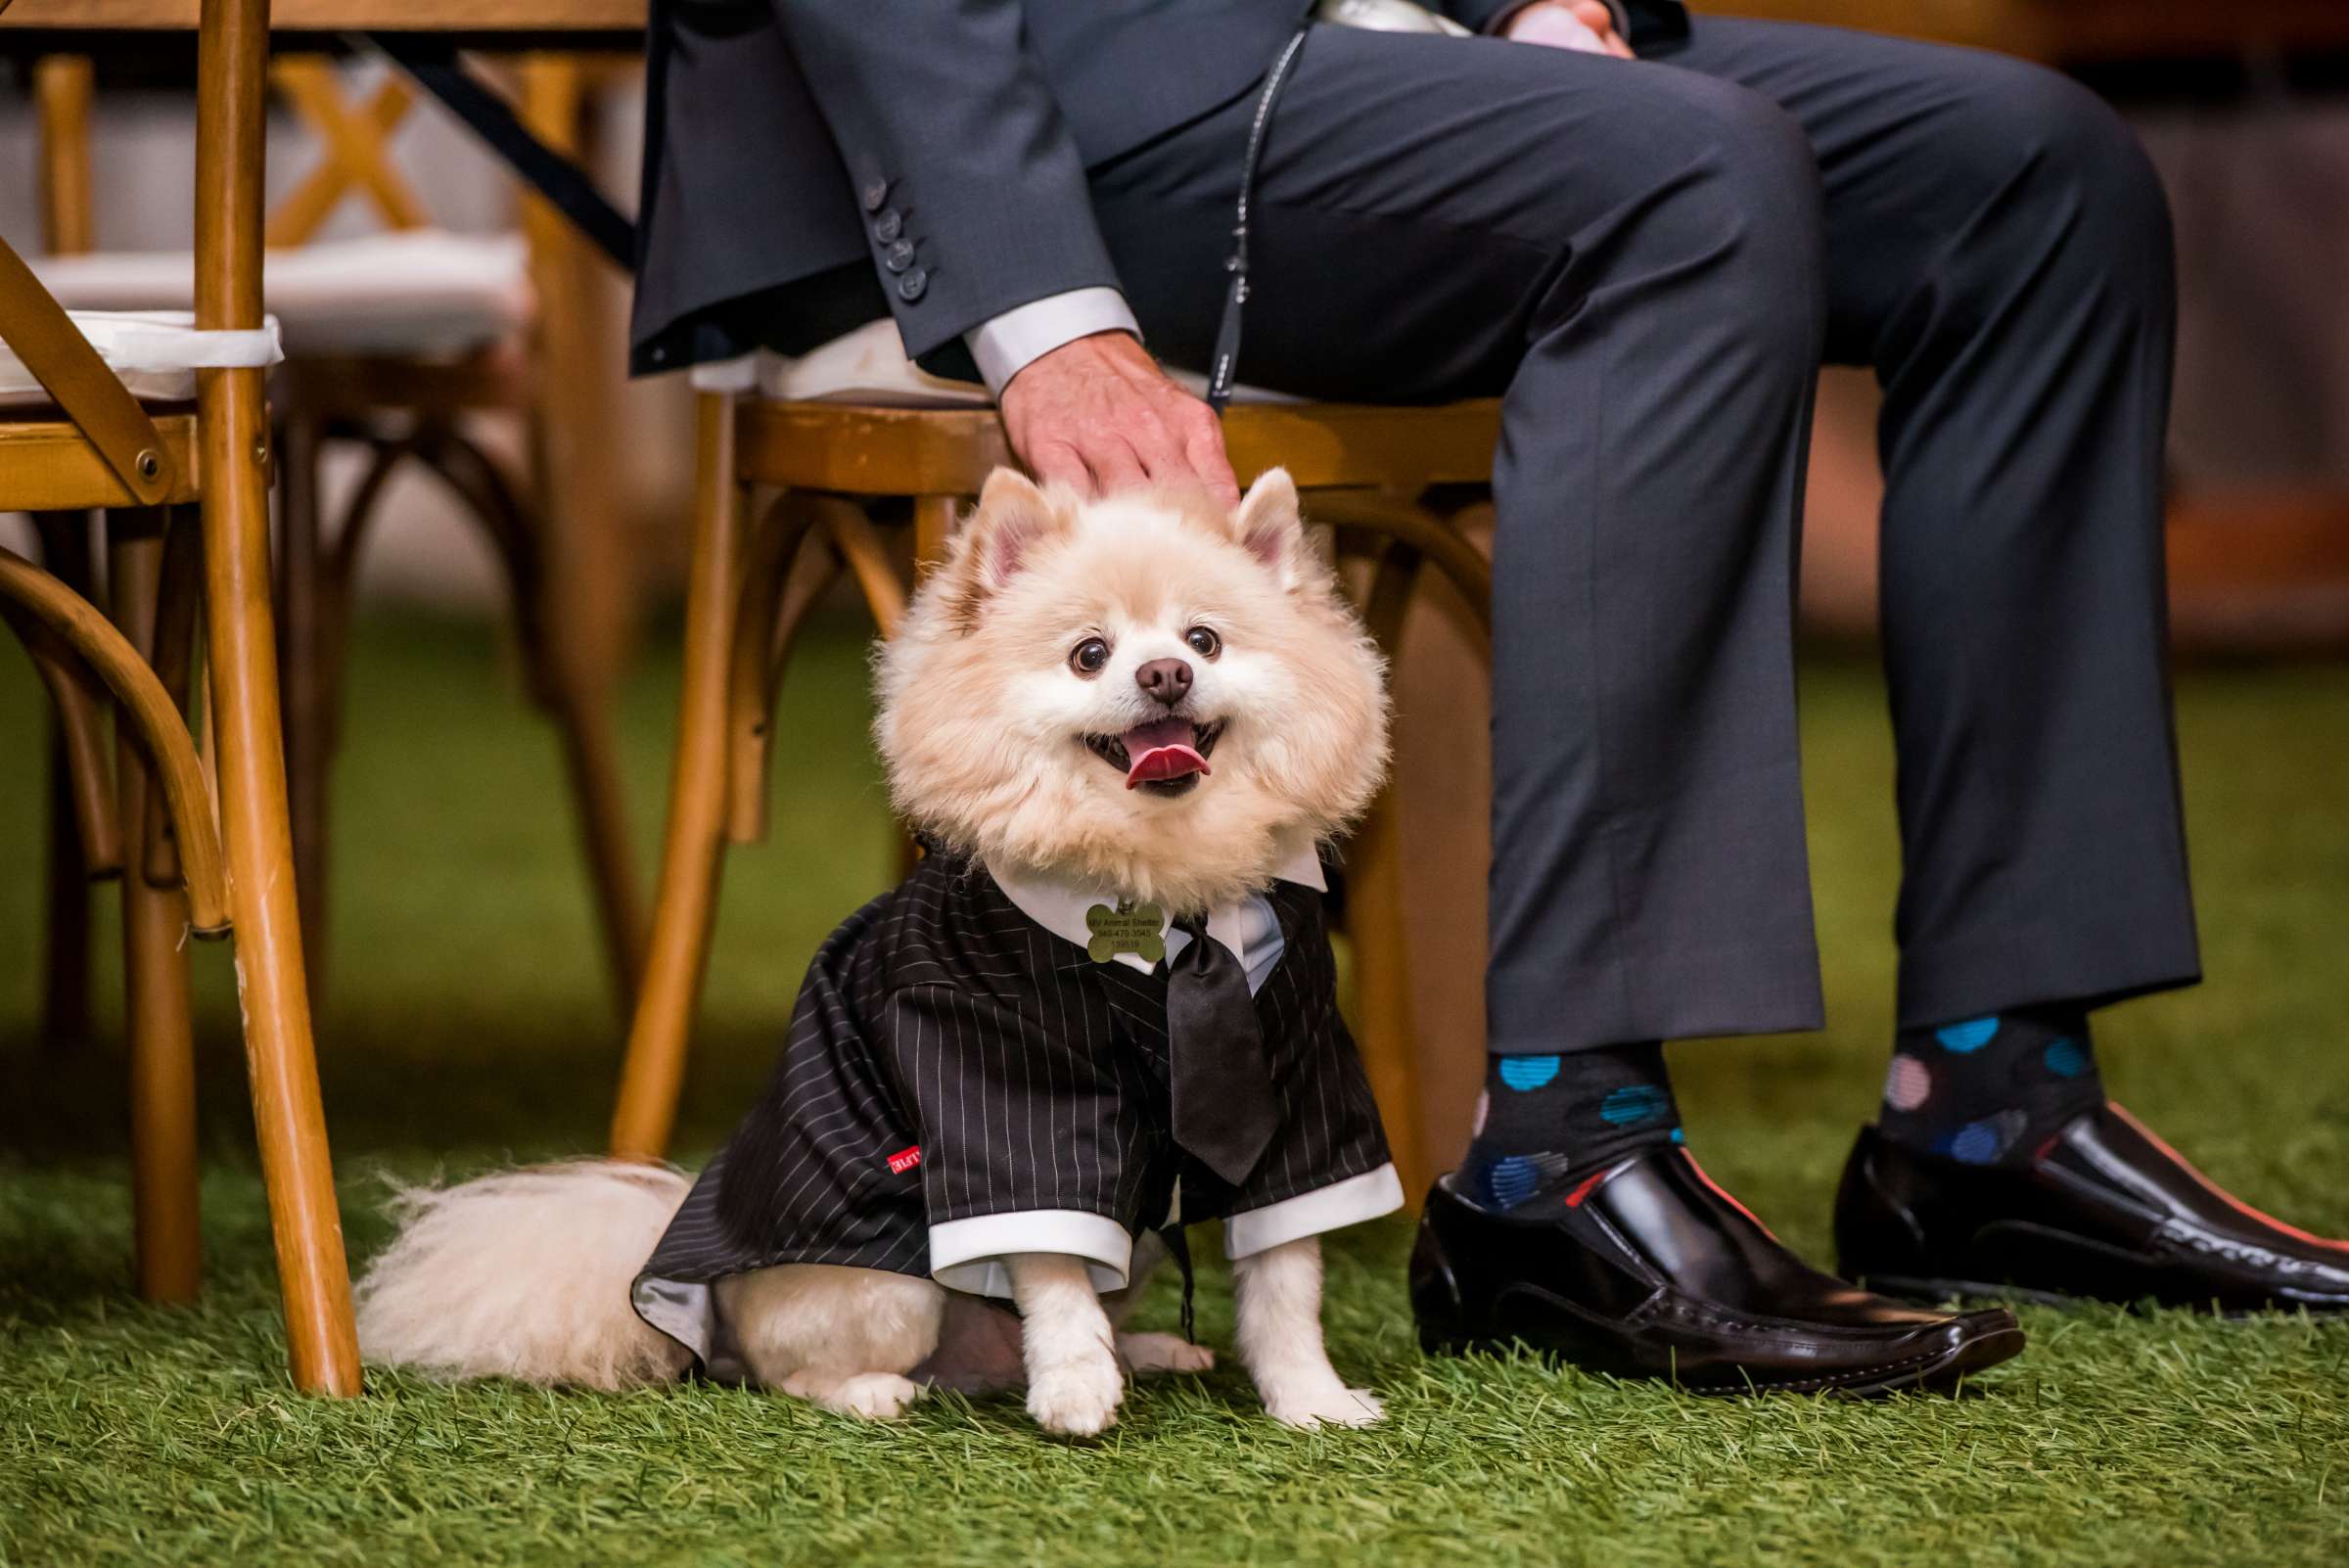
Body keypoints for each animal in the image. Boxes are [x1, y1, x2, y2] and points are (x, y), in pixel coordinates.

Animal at [356, 464, 1390, 1436]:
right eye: (1089, 655)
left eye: (1205, 640)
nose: (1166, 674)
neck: (1166, 894)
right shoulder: (1005, 1100)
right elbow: (1053, 1272)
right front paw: (1076, 1390)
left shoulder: (1295, 1088)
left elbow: (1285, 1285)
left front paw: (1311, 1401)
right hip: (885, 1281)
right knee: (785, 1371)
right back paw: (878, 1392)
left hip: (1119, 1255)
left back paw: (1143, 1352)